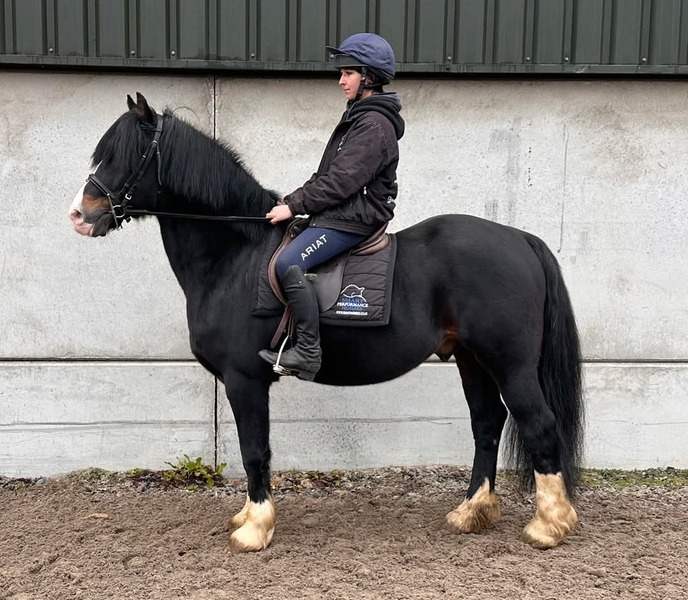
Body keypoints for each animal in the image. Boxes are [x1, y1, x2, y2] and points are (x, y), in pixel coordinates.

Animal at [70, 92, 584, 548]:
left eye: (124, 155)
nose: (80, 214)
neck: (234, 257)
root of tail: (520, 239)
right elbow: (254, 450)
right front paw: (247, 517)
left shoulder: (244, 379)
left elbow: (254, 450)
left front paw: (255, 529)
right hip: (471, 359)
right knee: (487, 424)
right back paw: (472, 512)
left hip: (510, 363)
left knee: (539, 424)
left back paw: (549, 526)